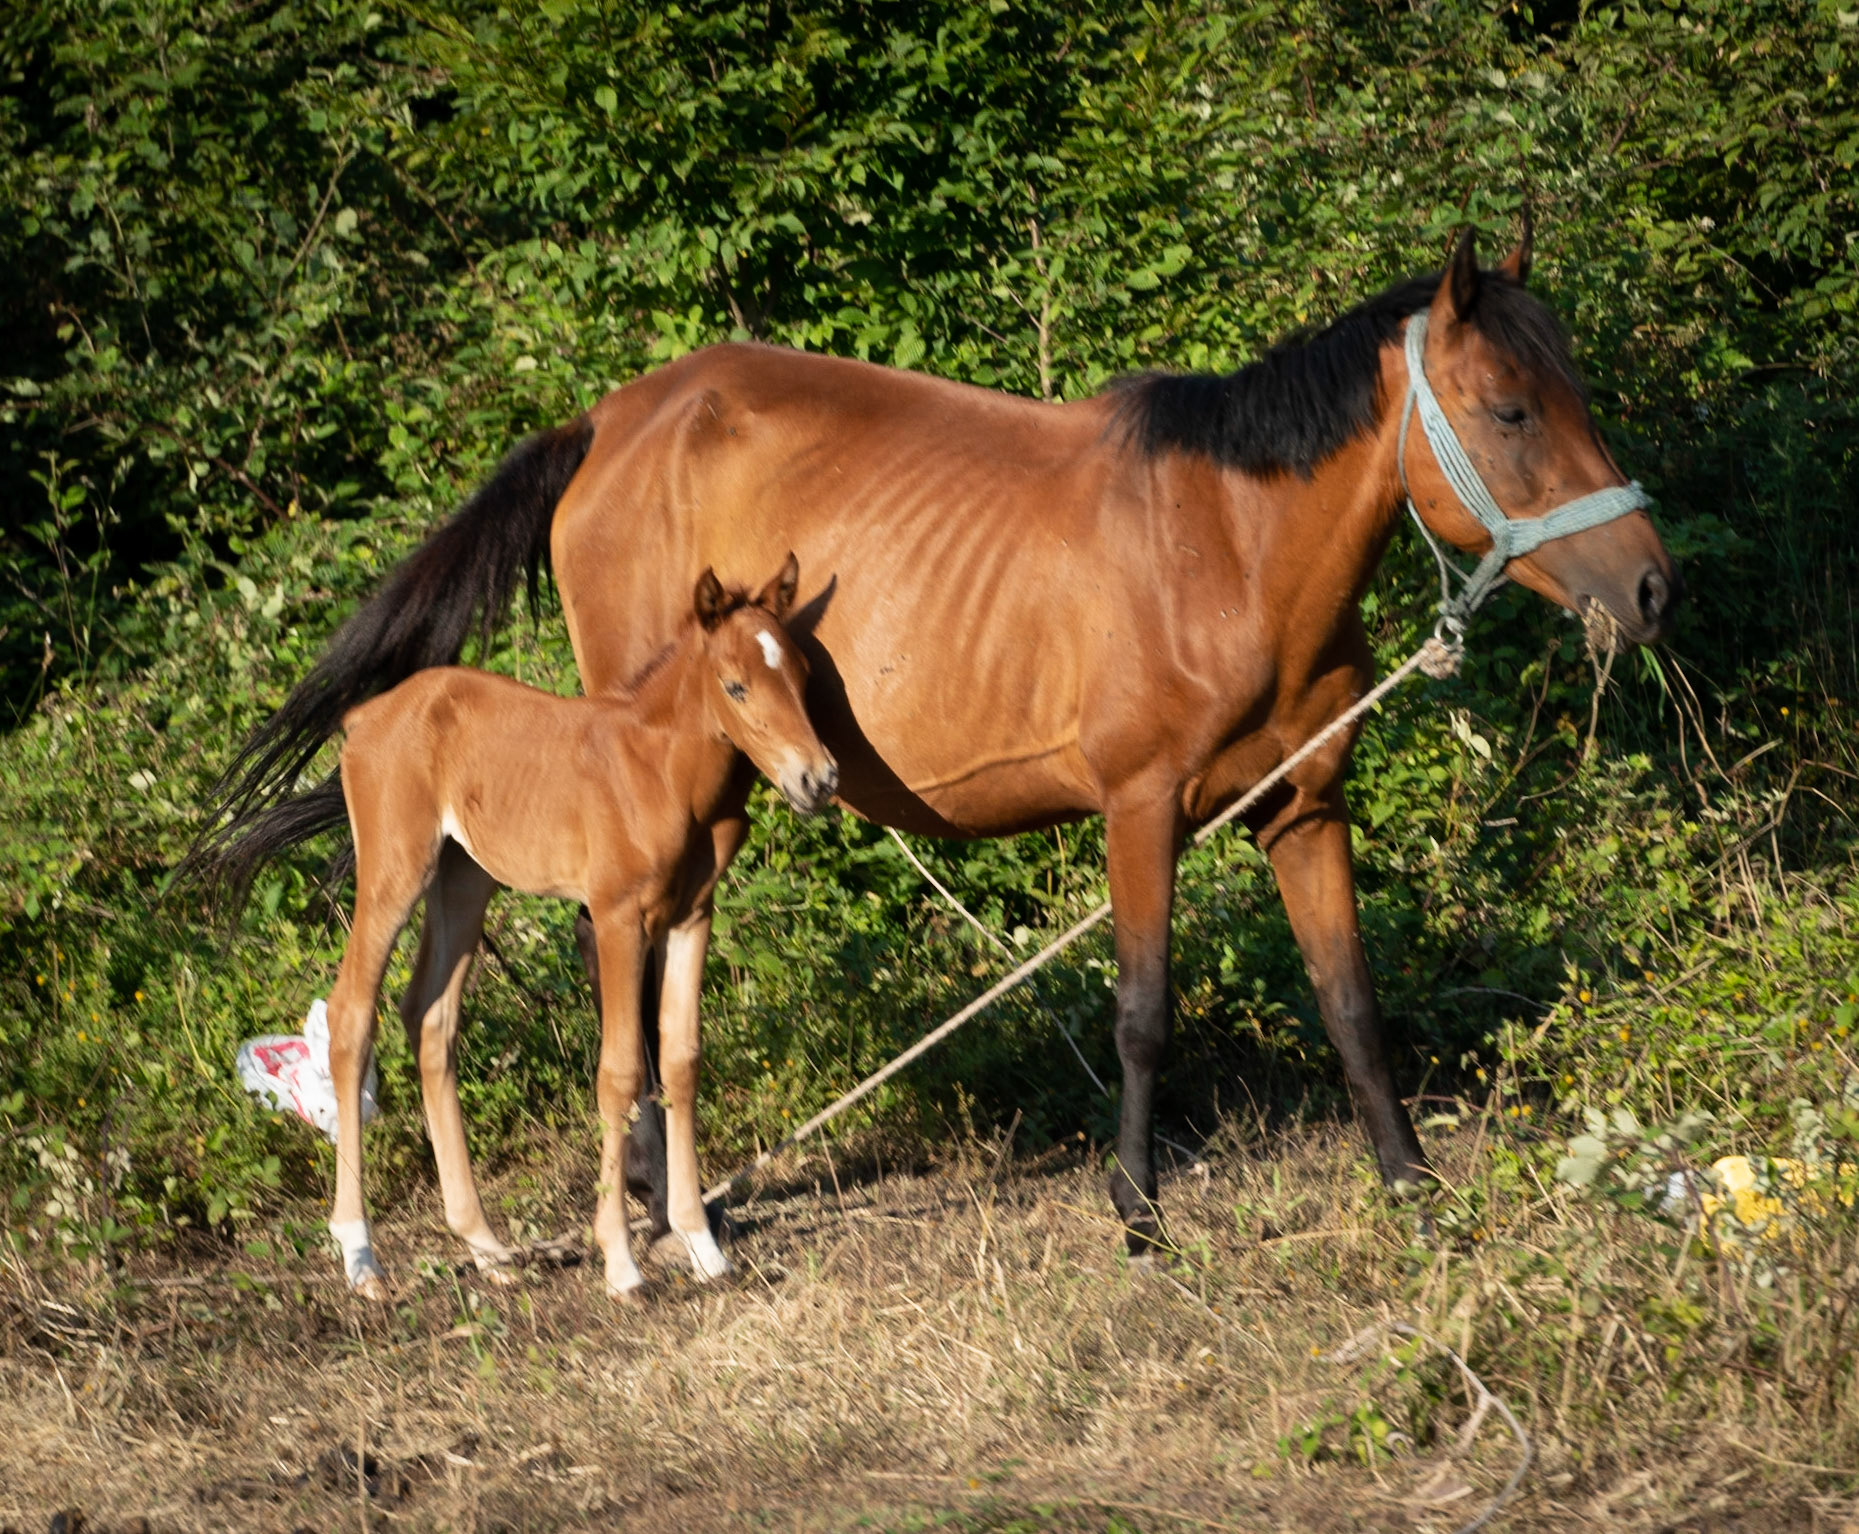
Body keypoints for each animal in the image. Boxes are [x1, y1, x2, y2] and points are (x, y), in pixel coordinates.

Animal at [221, 559, 837, 1298]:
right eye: (735, 685)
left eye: (803, 673)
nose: (818, 779)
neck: (663, 773)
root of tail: (364, 715)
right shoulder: (617, 916)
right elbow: (622, 1071)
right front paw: (620, 1261)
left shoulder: (693, 914)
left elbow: (682, 1061)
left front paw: (703, 1245)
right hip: (396, 868)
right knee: (351, 1014)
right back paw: (359, 1253)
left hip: (464, 879)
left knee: (429, 1019)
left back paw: (485, 1245)